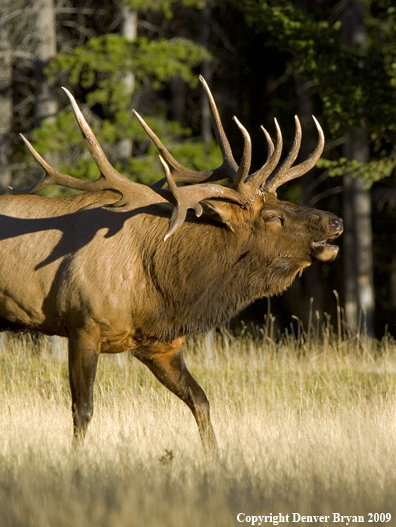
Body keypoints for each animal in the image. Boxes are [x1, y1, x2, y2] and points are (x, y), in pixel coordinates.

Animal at [0, 78, 344, 454]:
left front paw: (216, 457)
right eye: (271, 216)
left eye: (283, 200)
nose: (335, 221)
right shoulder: (82, 325)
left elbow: (201, 400)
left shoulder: (159, 344)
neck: (162, 287)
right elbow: (83, 409)